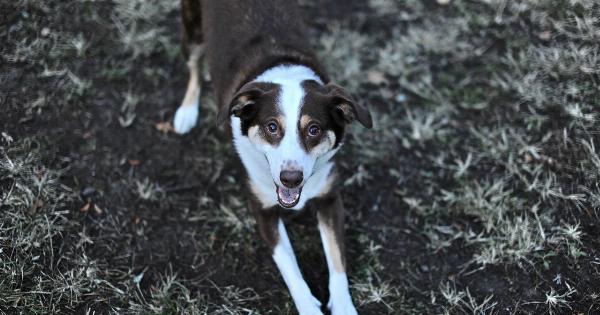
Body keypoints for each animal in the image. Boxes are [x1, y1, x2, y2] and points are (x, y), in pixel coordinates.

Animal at [172, 1, 370, 314]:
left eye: (314, 129)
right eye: (272, 127)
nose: (291, 178)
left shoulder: (329, 198)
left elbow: (337, 263)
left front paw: (343, 307)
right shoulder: (262, 208)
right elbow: (290, 267)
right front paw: (309, 307)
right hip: (191, 31)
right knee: (194, 67)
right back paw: (187, 111)